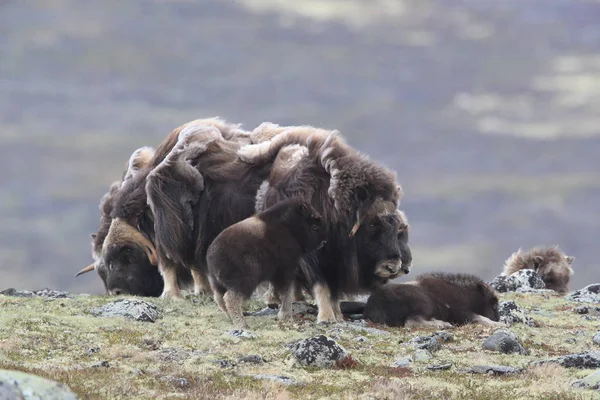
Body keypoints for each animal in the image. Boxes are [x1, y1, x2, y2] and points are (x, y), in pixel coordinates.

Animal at [207, 198, 328, 330]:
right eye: (314, 226)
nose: (324, 241)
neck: (288, 229)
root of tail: (213, 256)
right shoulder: (285, 270)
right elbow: (287, 292)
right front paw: (286, 315)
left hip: (218, 284)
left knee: (219, 298)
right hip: (244, 282)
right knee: (230, 298)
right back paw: (243, 324)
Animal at [364, 272, 504, 328]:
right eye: (494, 304)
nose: (498, 319)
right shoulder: (460, 312)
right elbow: (479, 318)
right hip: (423, 304)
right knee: (412, 321)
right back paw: (444, 324)